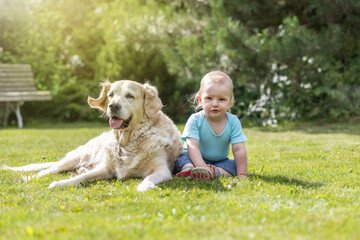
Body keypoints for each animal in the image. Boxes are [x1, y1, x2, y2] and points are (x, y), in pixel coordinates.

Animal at [2, 80, 183, 191]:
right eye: (110, 95)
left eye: (130, 96)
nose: (113, 106)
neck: (126, 142)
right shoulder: (105, 168)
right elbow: (78, 178)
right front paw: (59, 183)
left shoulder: (161, 169)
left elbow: (149, 178)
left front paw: (144, 186)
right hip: (77, 157)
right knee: (48, 170)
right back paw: (30, 178)